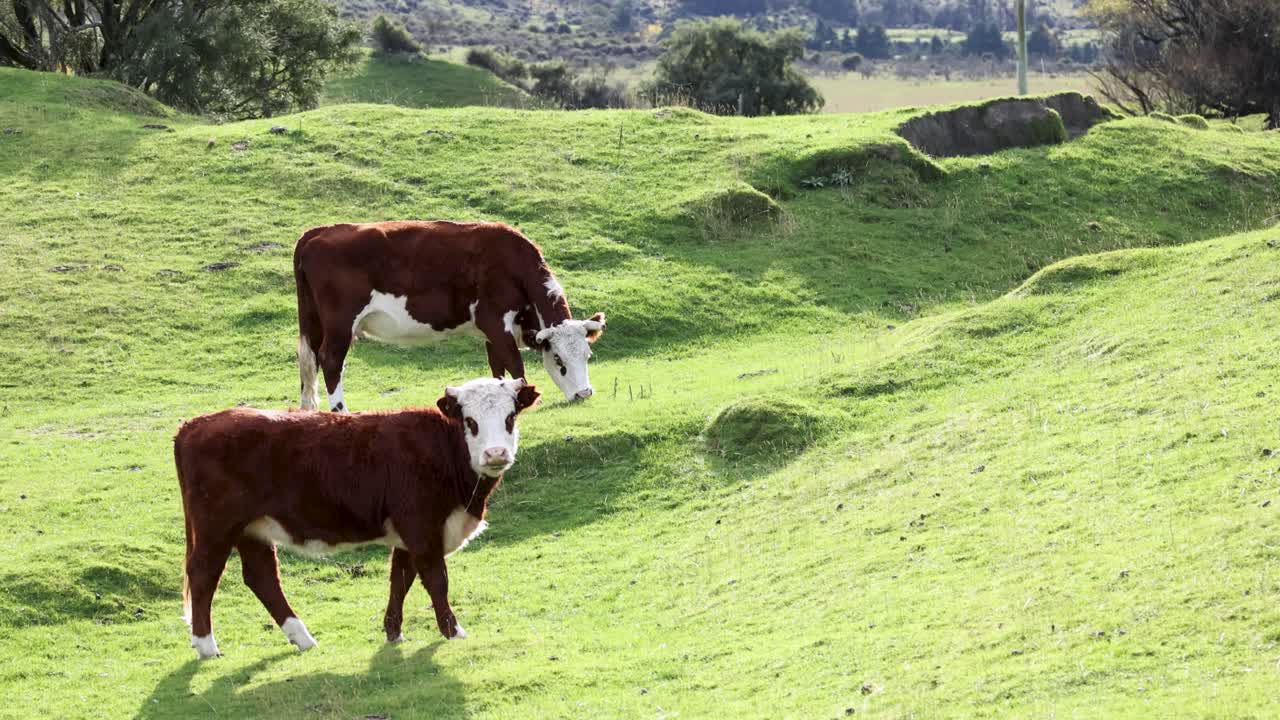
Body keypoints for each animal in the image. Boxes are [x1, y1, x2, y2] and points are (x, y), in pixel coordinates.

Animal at [173, 376, 541, 659]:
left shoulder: (407, 534)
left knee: (261, 577)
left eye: (510, 417)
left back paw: (303, 638)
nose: (496, 453)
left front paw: (393, 632)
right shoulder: (422, 529)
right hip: (217, 527)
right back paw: (206, 646)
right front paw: (453, 631)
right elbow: (436, 580)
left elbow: (400, 579)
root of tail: (197, 424)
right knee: (204, 574)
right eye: (470, 421)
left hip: (253, 530)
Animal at [293, 220, 606, 412]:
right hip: (340, 324)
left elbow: (497, 367)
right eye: (558, 359)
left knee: (309, 360)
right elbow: (515, 365)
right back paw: (341, 411)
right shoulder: (496, 322)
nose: (584, 394)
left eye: (587, 355)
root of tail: (317, 232)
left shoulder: (490, 332)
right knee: (331, 361)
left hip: (313, 320)